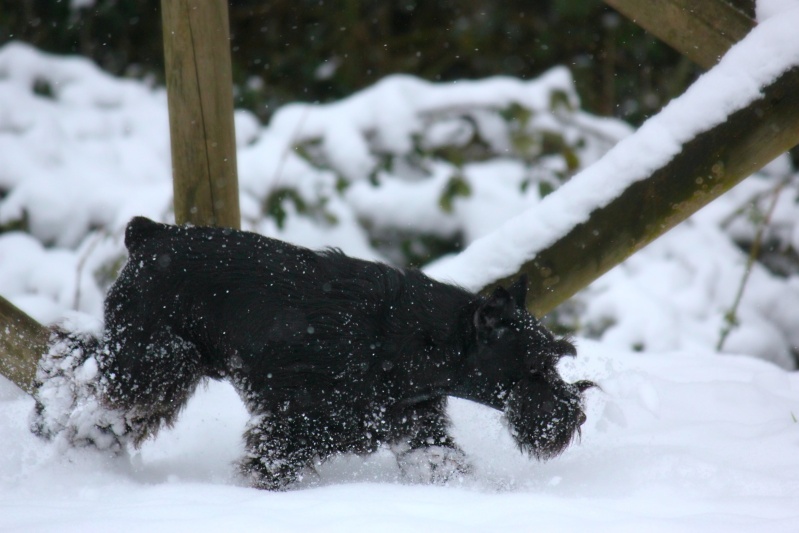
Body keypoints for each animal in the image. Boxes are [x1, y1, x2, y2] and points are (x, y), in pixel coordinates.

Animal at [32, 215, 592, 486]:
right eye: (536, 368)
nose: (575, 415)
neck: (423, 340)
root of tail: (149, 234)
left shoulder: (415, 426)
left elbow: (442, 464)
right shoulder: (299, 423)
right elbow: (269, 467)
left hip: (146, 361)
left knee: (73, 362)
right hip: (153, 363)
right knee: (86, 392)